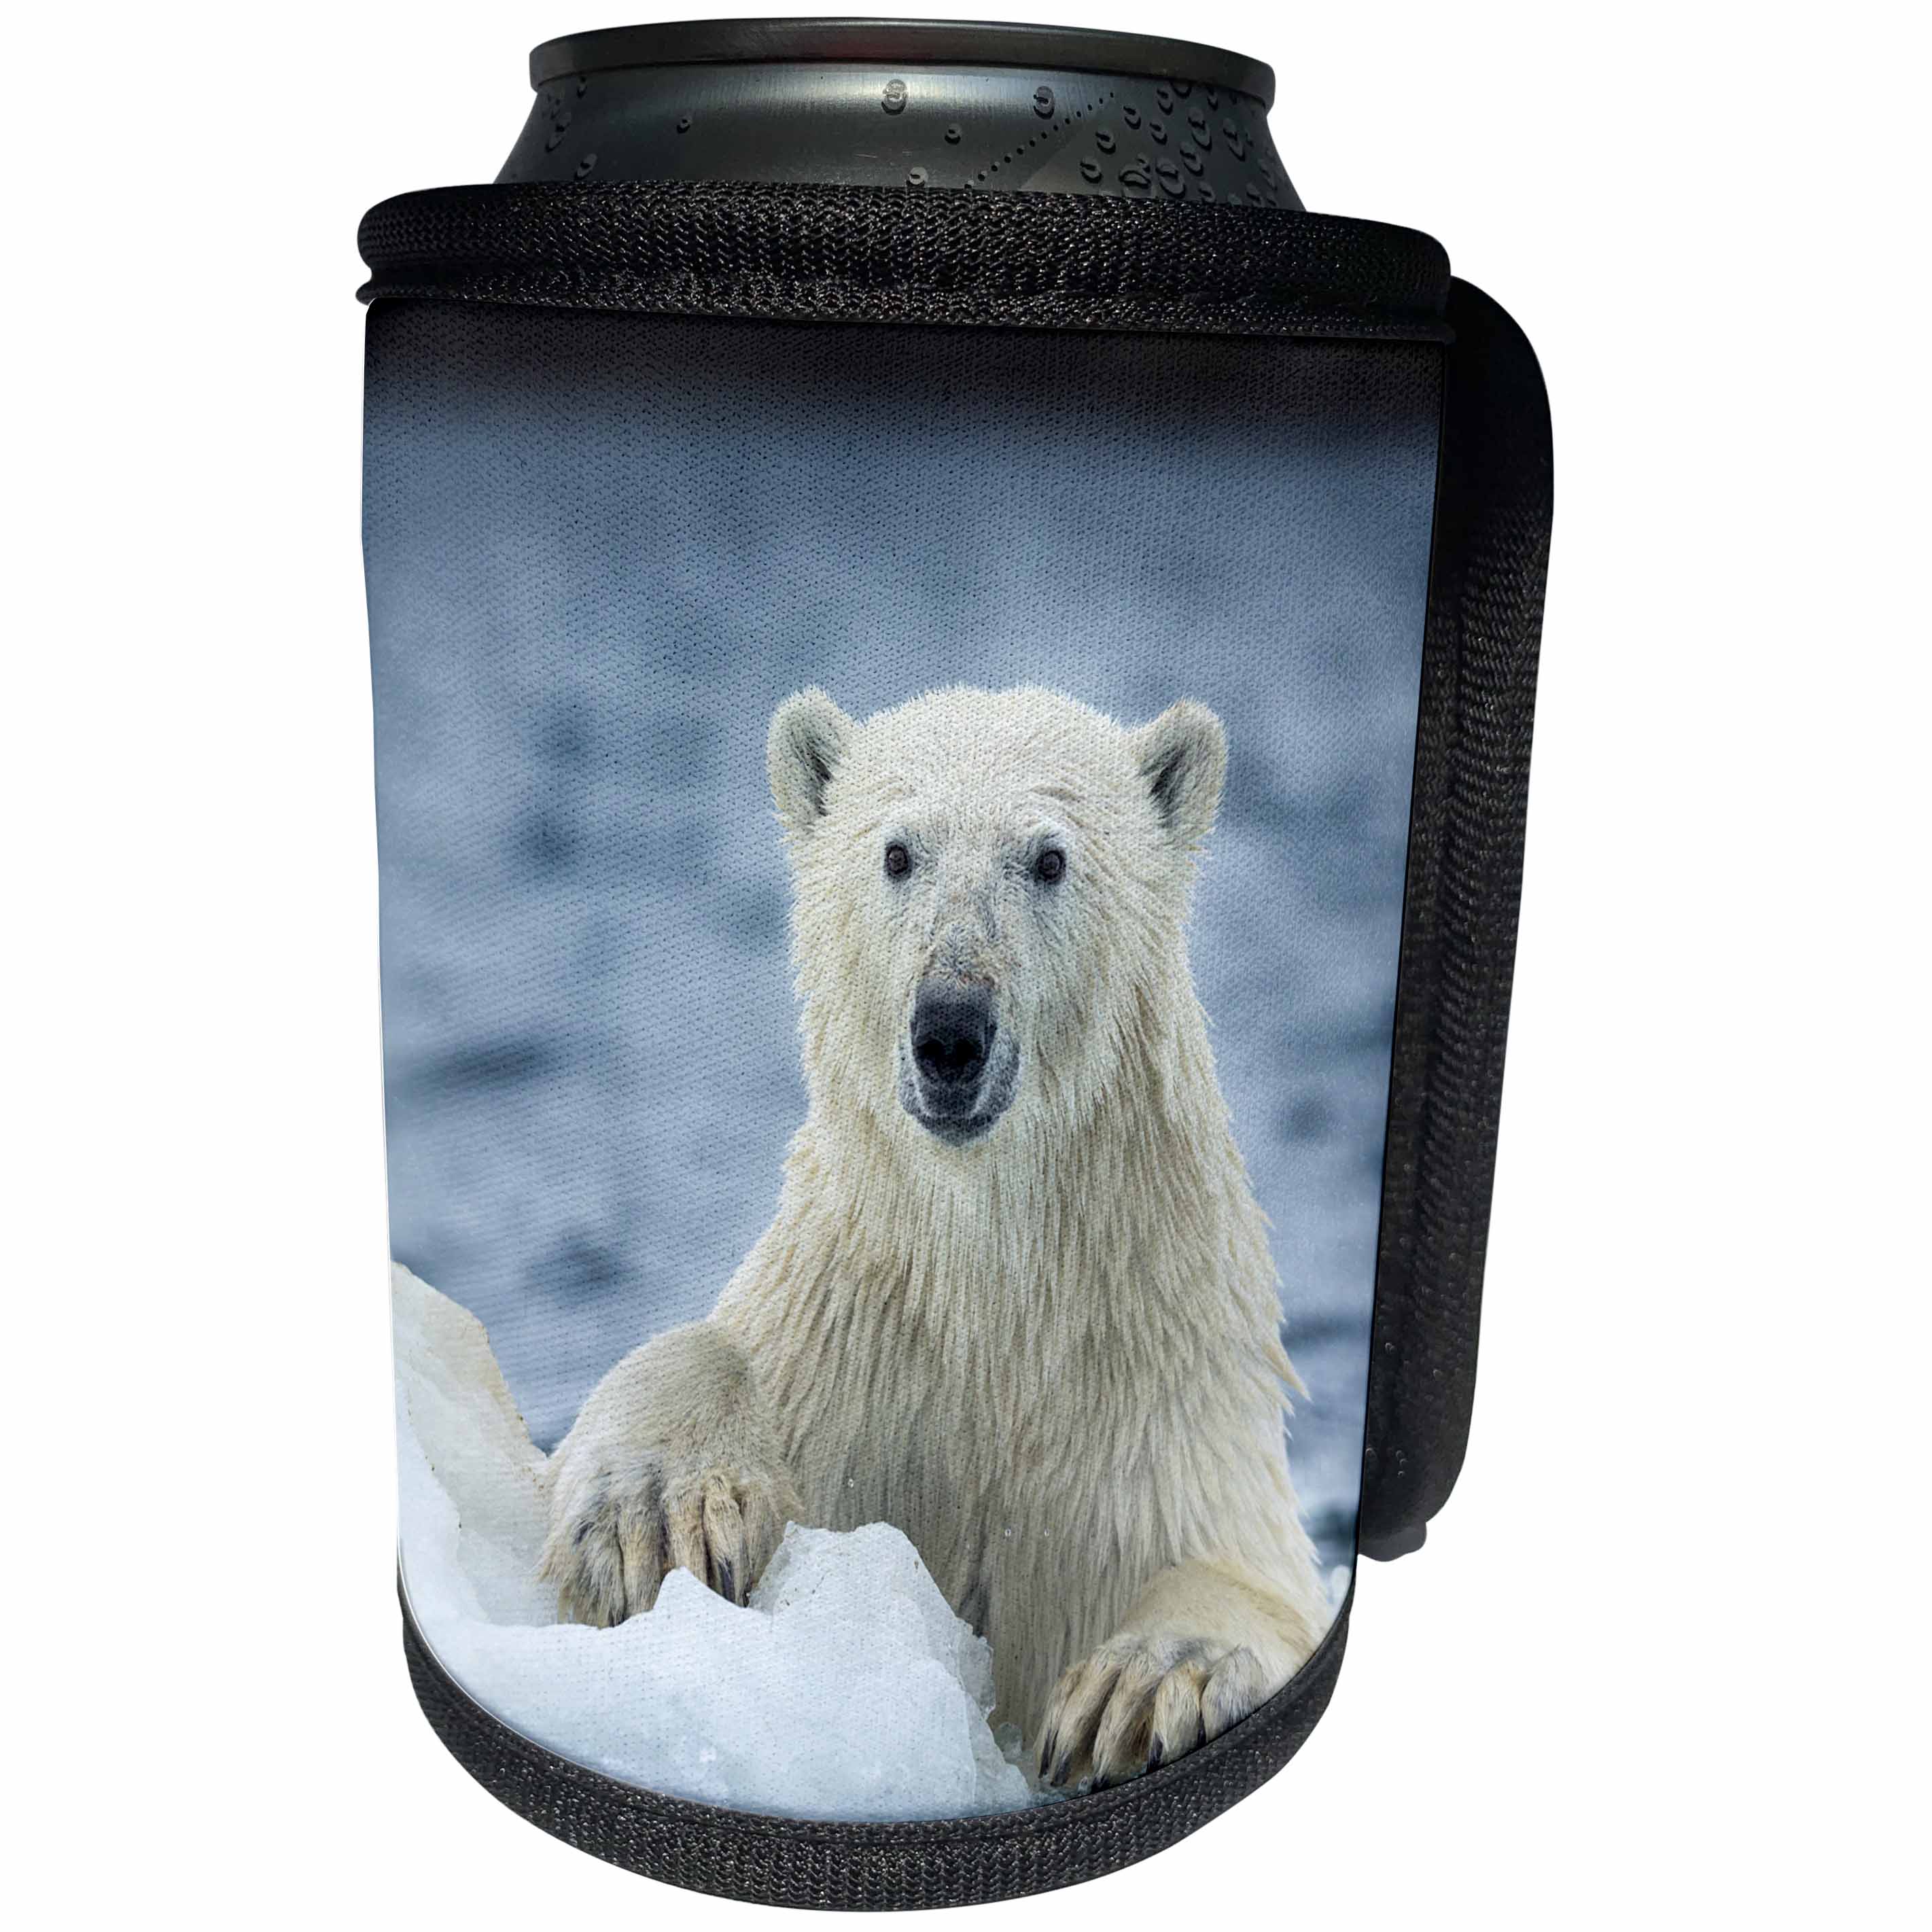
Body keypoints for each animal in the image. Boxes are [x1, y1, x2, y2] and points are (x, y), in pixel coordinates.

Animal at [539, 684, 1331, 1789]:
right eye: (897, 852)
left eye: (1048, 858)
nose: (949, 1032)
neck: (989, 1294)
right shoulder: (851, 1344)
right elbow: (709, 1352)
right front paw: (654, 1514)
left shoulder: (1152, 1417)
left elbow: (1236, 1572)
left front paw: (1144, 1684)